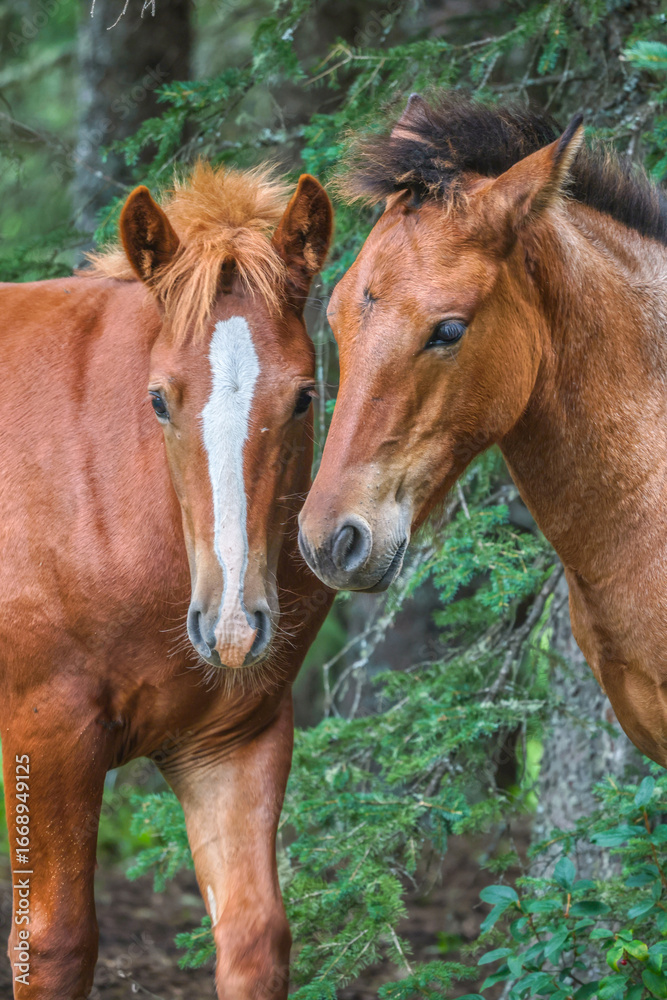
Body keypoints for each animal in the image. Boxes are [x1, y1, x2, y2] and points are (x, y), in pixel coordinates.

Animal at [0, 160, 333, 999]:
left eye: (304, 396)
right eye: (158, 398)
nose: (233, 626)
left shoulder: (231, 743)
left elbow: (254, 940)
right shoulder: (50, 740)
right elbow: (55, 946)